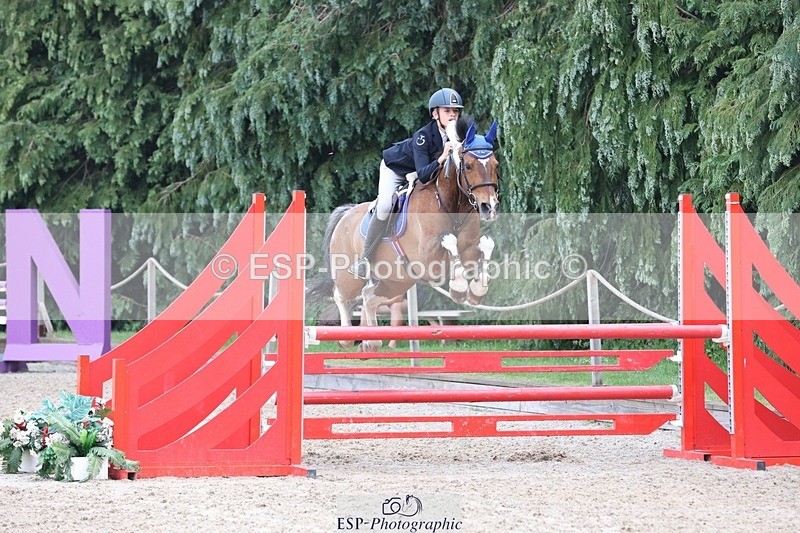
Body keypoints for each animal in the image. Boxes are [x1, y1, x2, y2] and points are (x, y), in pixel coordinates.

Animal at [309, 117, 501, 351]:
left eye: (496, 165)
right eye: (469, 166)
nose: (489, 207)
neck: (450, 202)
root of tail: (346, 214)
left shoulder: (468, 249)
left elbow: (483, 249)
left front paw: (474, 291)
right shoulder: (428, 258)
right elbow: (450, 243)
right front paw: (458, 287)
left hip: (397, 280)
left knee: (369, 297)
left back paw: (370, 341)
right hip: (350, 277)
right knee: (342, 296)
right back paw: (347, 337)